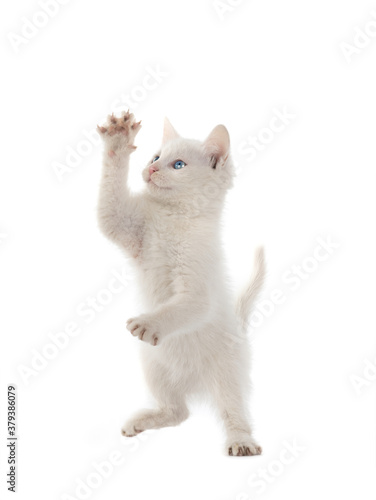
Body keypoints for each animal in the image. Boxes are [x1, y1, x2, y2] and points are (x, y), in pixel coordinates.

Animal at [97, 112, 264, 458]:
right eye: (155, 157)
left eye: (178, 165)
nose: (150, 169)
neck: (173, 218)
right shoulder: (125, 226)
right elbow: (109, 205)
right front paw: (119, 138)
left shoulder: (199, 290)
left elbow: (182, 307)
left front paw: (147, 324)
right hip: (154, 367)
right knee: (178, 413)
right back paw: (141, 422)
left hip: (226, 374)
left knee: (234, 410)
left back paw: (241, 442)